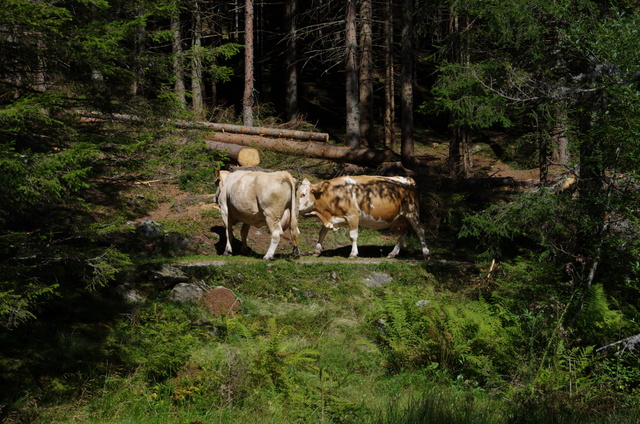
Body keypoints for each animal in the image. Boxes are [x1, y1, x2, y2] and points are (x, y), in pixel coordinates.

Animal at [298, 175, 430, 258]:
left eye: (303, 194)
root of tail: (407, 180)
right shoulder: (332, 218)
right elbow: (322, 233)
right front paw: (316, 250)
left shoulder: (353, 216)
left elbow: (353, 236)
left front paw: (353, 254)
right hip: (399, 218)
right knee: (403, 233)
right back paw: (393, 253)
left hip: (412, 213)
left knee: (420, 230)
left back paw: (426, 253)